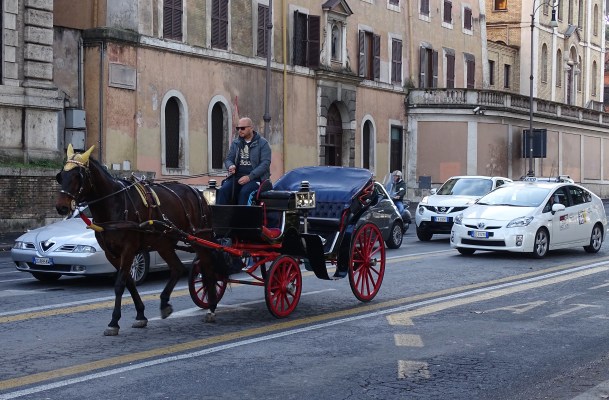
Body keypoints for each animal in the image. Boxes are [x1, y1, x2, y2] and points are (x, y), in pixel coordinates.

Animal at [55, 144, 220, 336]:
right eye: (60, 176)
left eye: (77, 176)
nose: (61, 207)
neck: (114, 203)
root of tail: (197, 193)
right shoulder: (112, 253)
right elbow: (129, 282)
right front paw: (140, 315)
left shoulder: (129, 249)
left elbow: (119, 284)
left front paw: (114, 321)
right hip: (163, 243)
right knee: (178, 268)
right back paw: (165, 302)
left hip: (200, 237)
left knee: (208, 268)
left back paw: (212, 307)